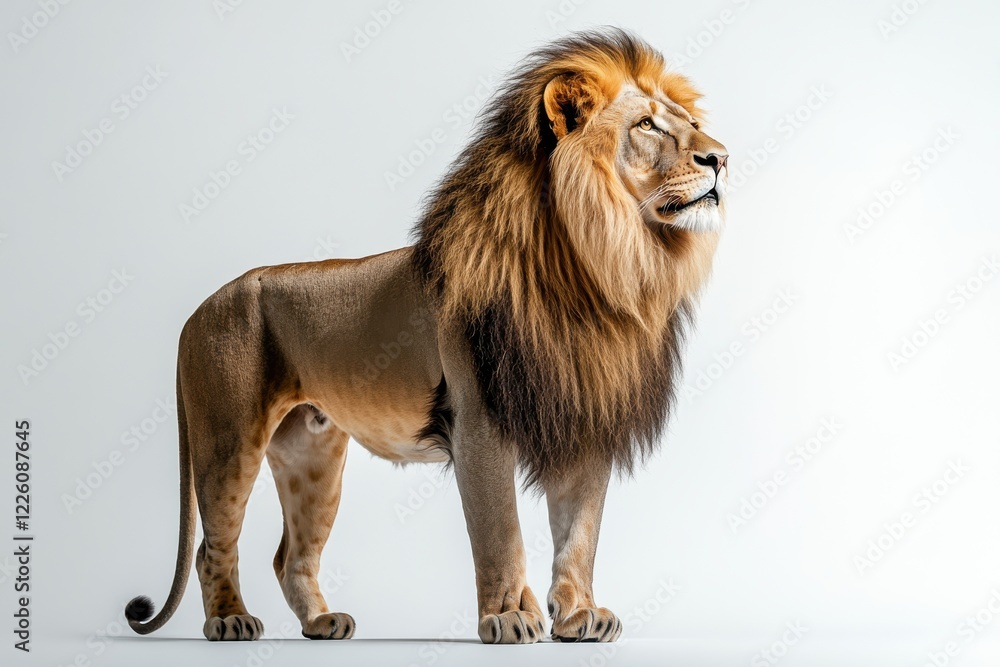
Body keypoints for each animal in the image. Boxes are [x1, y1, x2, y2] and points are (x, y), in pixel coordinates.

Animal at [125, 28, 728, 644]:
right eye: (648, 125)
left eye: (690, 122)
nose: (721, 158)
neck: (601, 264)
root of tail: (198, 311)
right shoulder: (478, 421)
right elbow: (500, 532)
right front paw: (508, 616)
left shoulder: (586, 415)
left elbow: (580, 533)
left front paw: (580, 615)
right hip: (229, 439)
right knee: (213, 546)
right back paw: (229, 619)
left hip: (313, 455)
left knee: (290, 556)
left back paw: (322, 622)